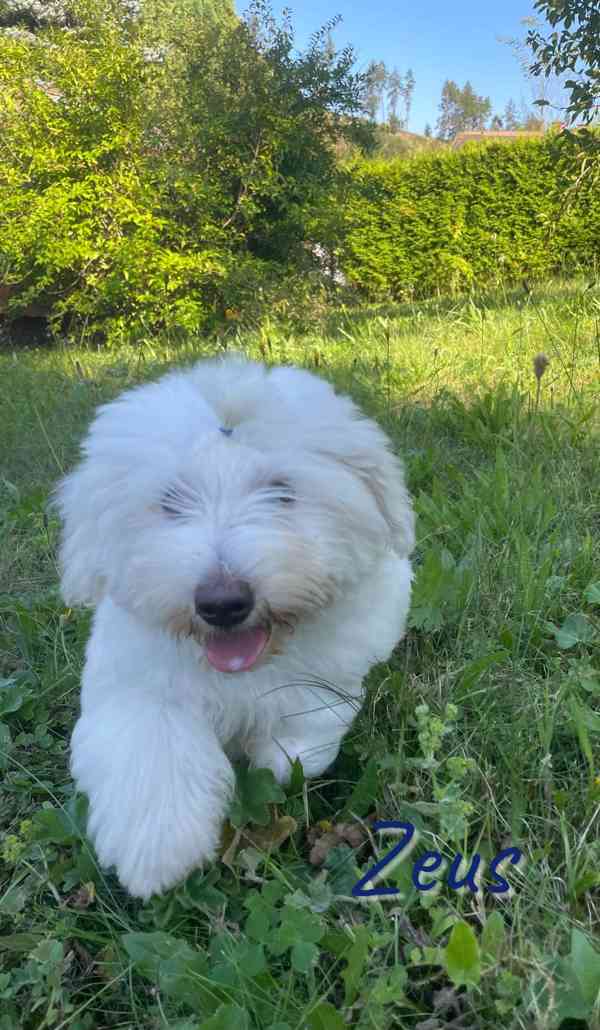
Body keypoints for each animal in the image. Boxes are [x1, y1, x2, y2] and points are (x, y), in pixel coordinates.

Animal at [56, 356, 415, 902]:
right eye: (170, 500)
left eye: (282, 491)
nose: (223, 604)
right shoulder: (134, 680)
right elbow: (149, 740)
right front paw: (157, 846)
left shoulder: (333, 666)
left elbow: (304, 723)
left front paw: (278, 760)